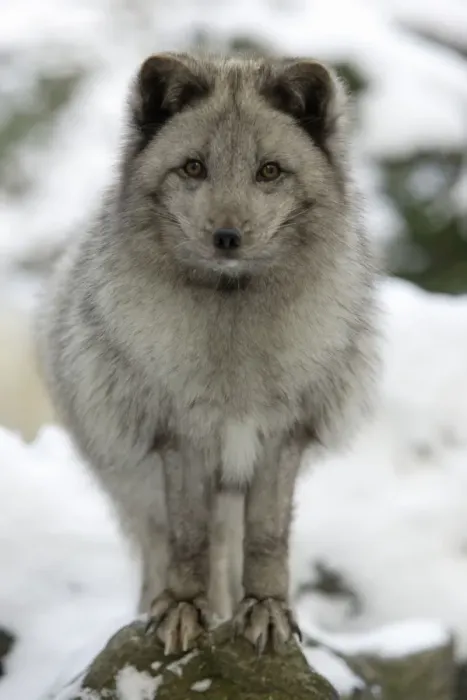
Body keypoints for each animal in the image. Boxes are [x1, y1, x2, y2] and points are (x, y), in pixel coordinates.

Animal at [36, 52, 379, 656]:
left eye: (269, 171)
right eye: (193, 167)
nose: (226, 237)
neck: (233, 344)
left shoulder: (282, 437)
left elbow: (267, 541)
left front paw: (266, 609)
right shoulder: (182, 437)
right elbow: (189, 541)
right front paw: (183, 611)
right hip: (136, 487)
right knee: (170, 548)